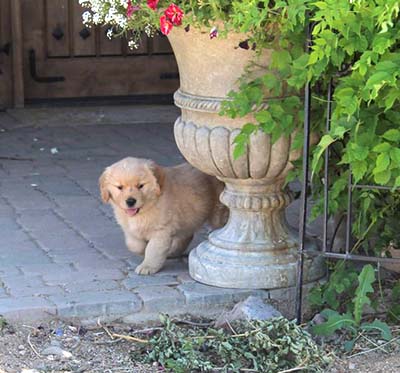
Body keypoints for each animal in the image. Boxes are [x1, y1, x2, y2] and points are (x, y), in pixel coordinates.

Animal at [99, 155, 227, 274]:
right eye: (119, 187)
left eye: (141, 186)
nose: (130, 201)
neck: (147, 207)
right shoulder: (129, 229)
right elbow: (134, 245)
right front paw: (142, 250)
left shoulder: (161, 230)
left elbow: (153, 249)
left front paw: (148, 266)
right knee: (186, 235)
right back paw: (172, 252)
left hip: (217, 214)